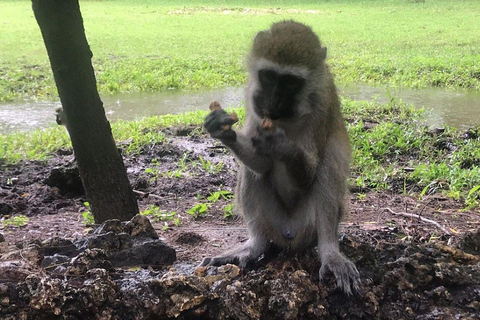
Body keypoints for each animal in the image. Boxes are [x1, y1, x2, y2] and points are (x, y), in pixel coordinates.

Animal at [202, 20, 360, 296]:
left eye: (290, 82)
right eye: (268, 76)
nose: (273, 102)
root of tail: (289, 235)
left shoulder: (323, 101)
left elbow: (309, 173)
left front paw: (281, 145)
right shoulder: (253, 96)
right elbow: (262, 163)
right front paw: (222, 129)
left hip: (307, 227)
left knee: (326, 170)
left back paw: (330, 251)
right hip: (272, 223)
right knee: (253, 174)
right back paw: (254, 245)